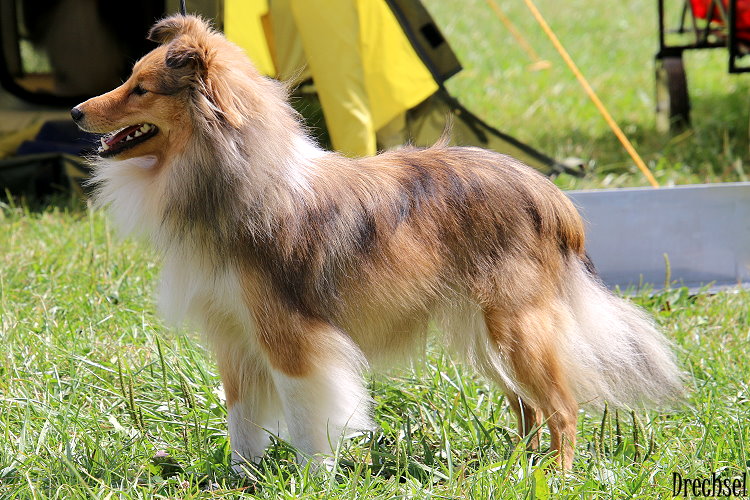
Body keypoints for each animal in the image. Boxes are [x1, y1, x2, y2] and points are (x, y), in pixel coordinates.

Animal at [72, 13, 688, 470]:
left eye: (140, 87)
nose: (76, 110)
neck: (233, 175)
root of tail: (550, 195)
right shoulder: (235, 337)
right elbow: (243, 419)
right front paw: (241, 478)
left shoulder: (292, 339)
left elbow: (308, 418)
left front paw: (313, 478)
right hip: (483, 335)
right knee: (527, 408)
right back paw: (515, 468)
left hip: (517, 328)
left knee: (562, 408)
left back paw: (555, 477)